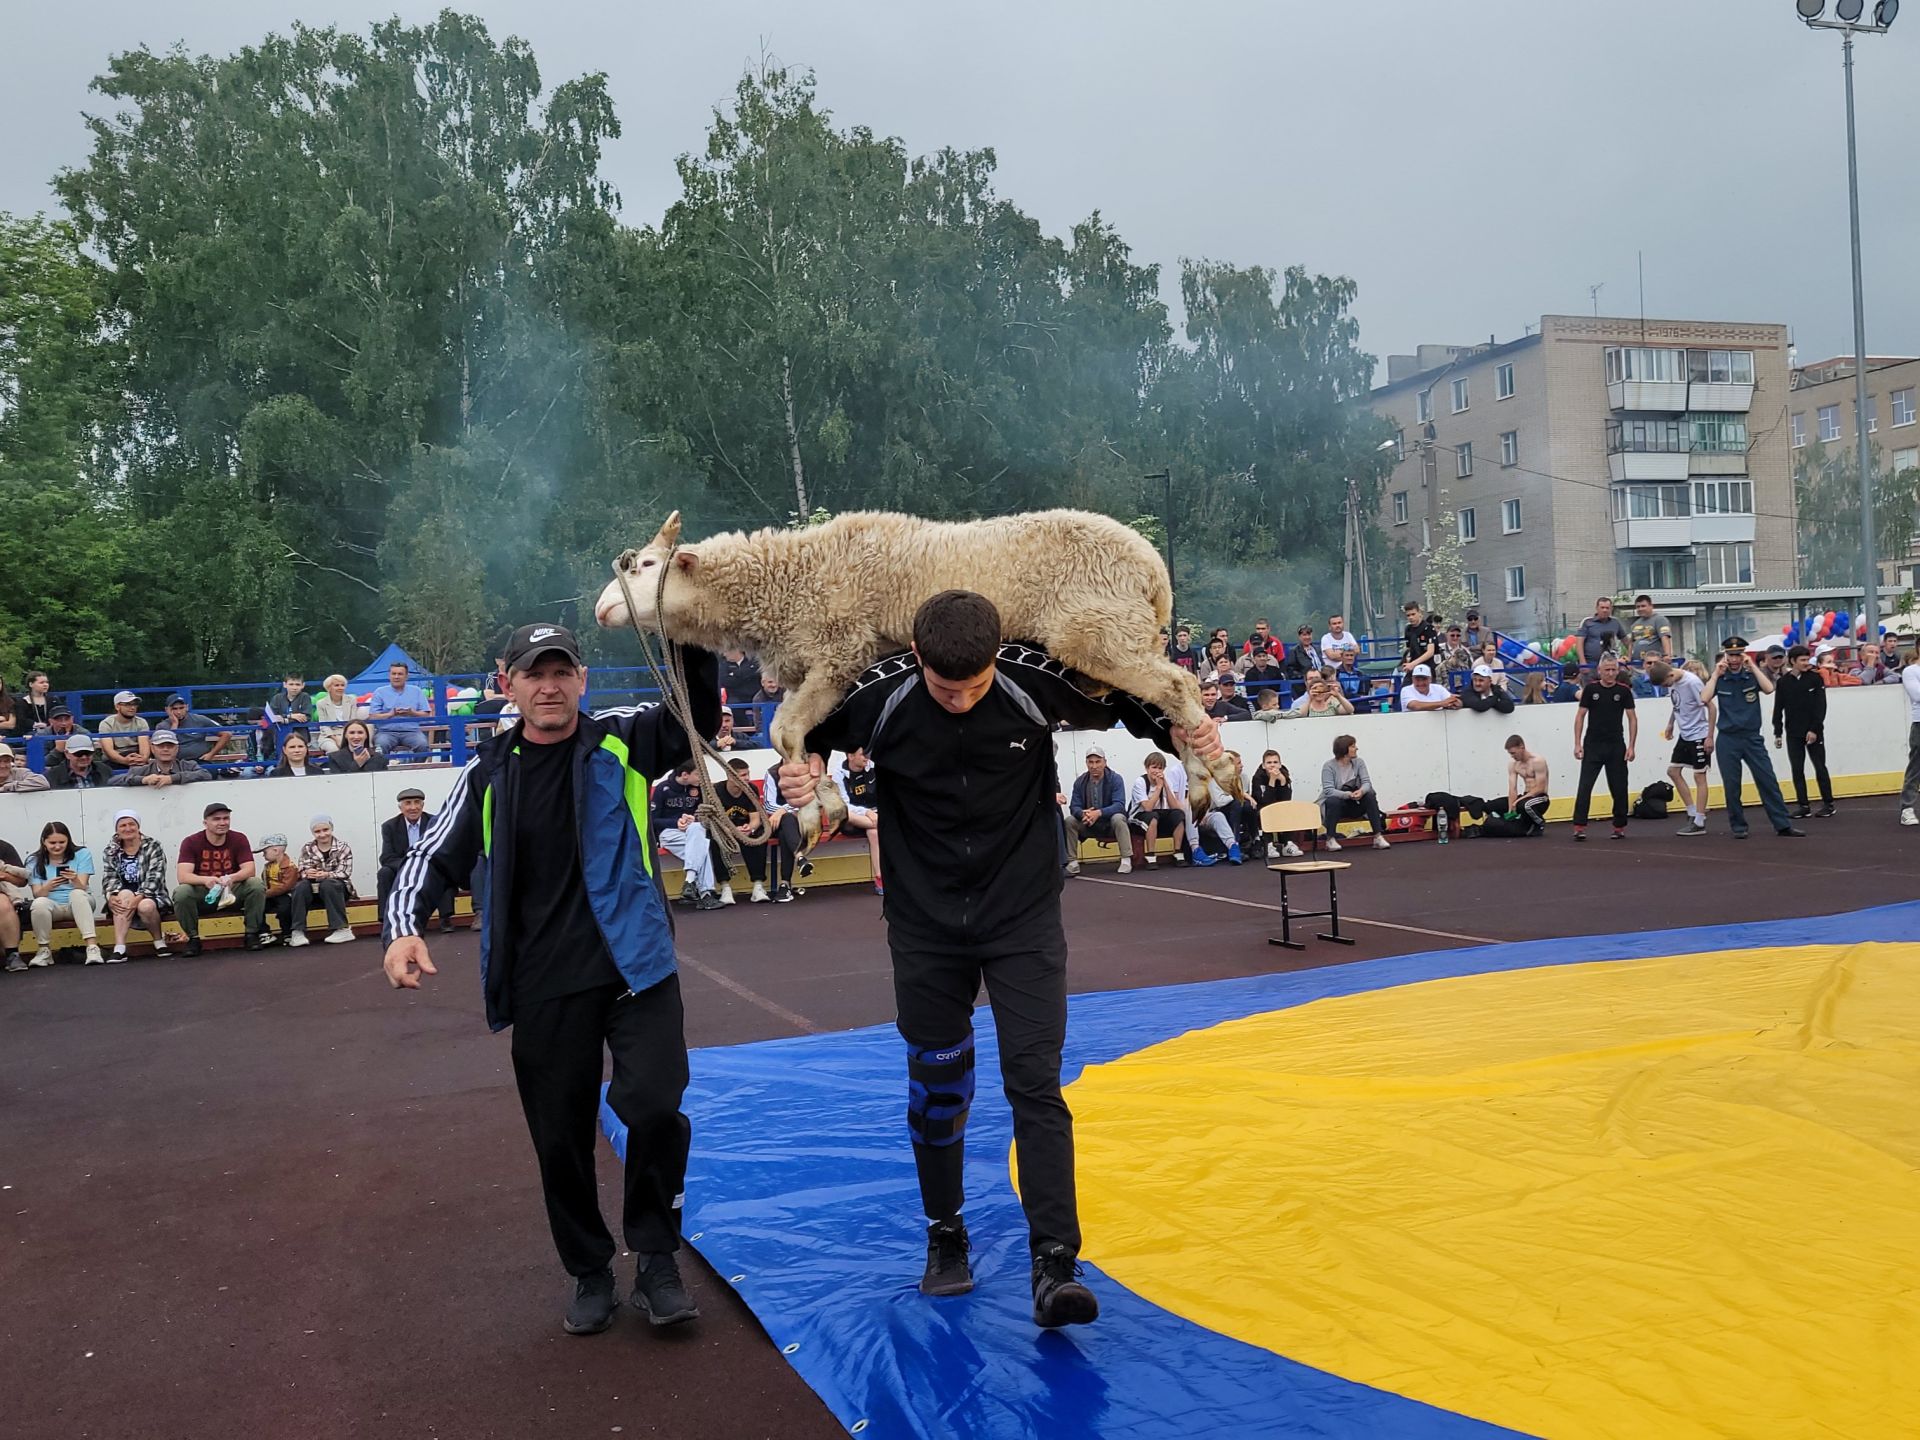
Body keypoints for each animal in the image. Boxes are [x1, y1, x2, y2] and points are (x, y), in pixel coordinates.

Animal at [587, 506, 1244, 844]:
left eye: (645, 566)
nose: (600, 608)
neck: (788, 580)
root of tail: (1153, 569)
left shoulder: (841, 650)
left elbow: (782, 732)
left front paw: (815, 810)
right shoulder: (818, 669)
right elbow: (798, 738)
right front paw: (819, 803)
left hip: (1098, 629)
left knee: (1179, 687)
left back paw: (1213, 769)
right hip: (1118, 636)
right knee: (1169, 697)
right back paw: (1203, 778)